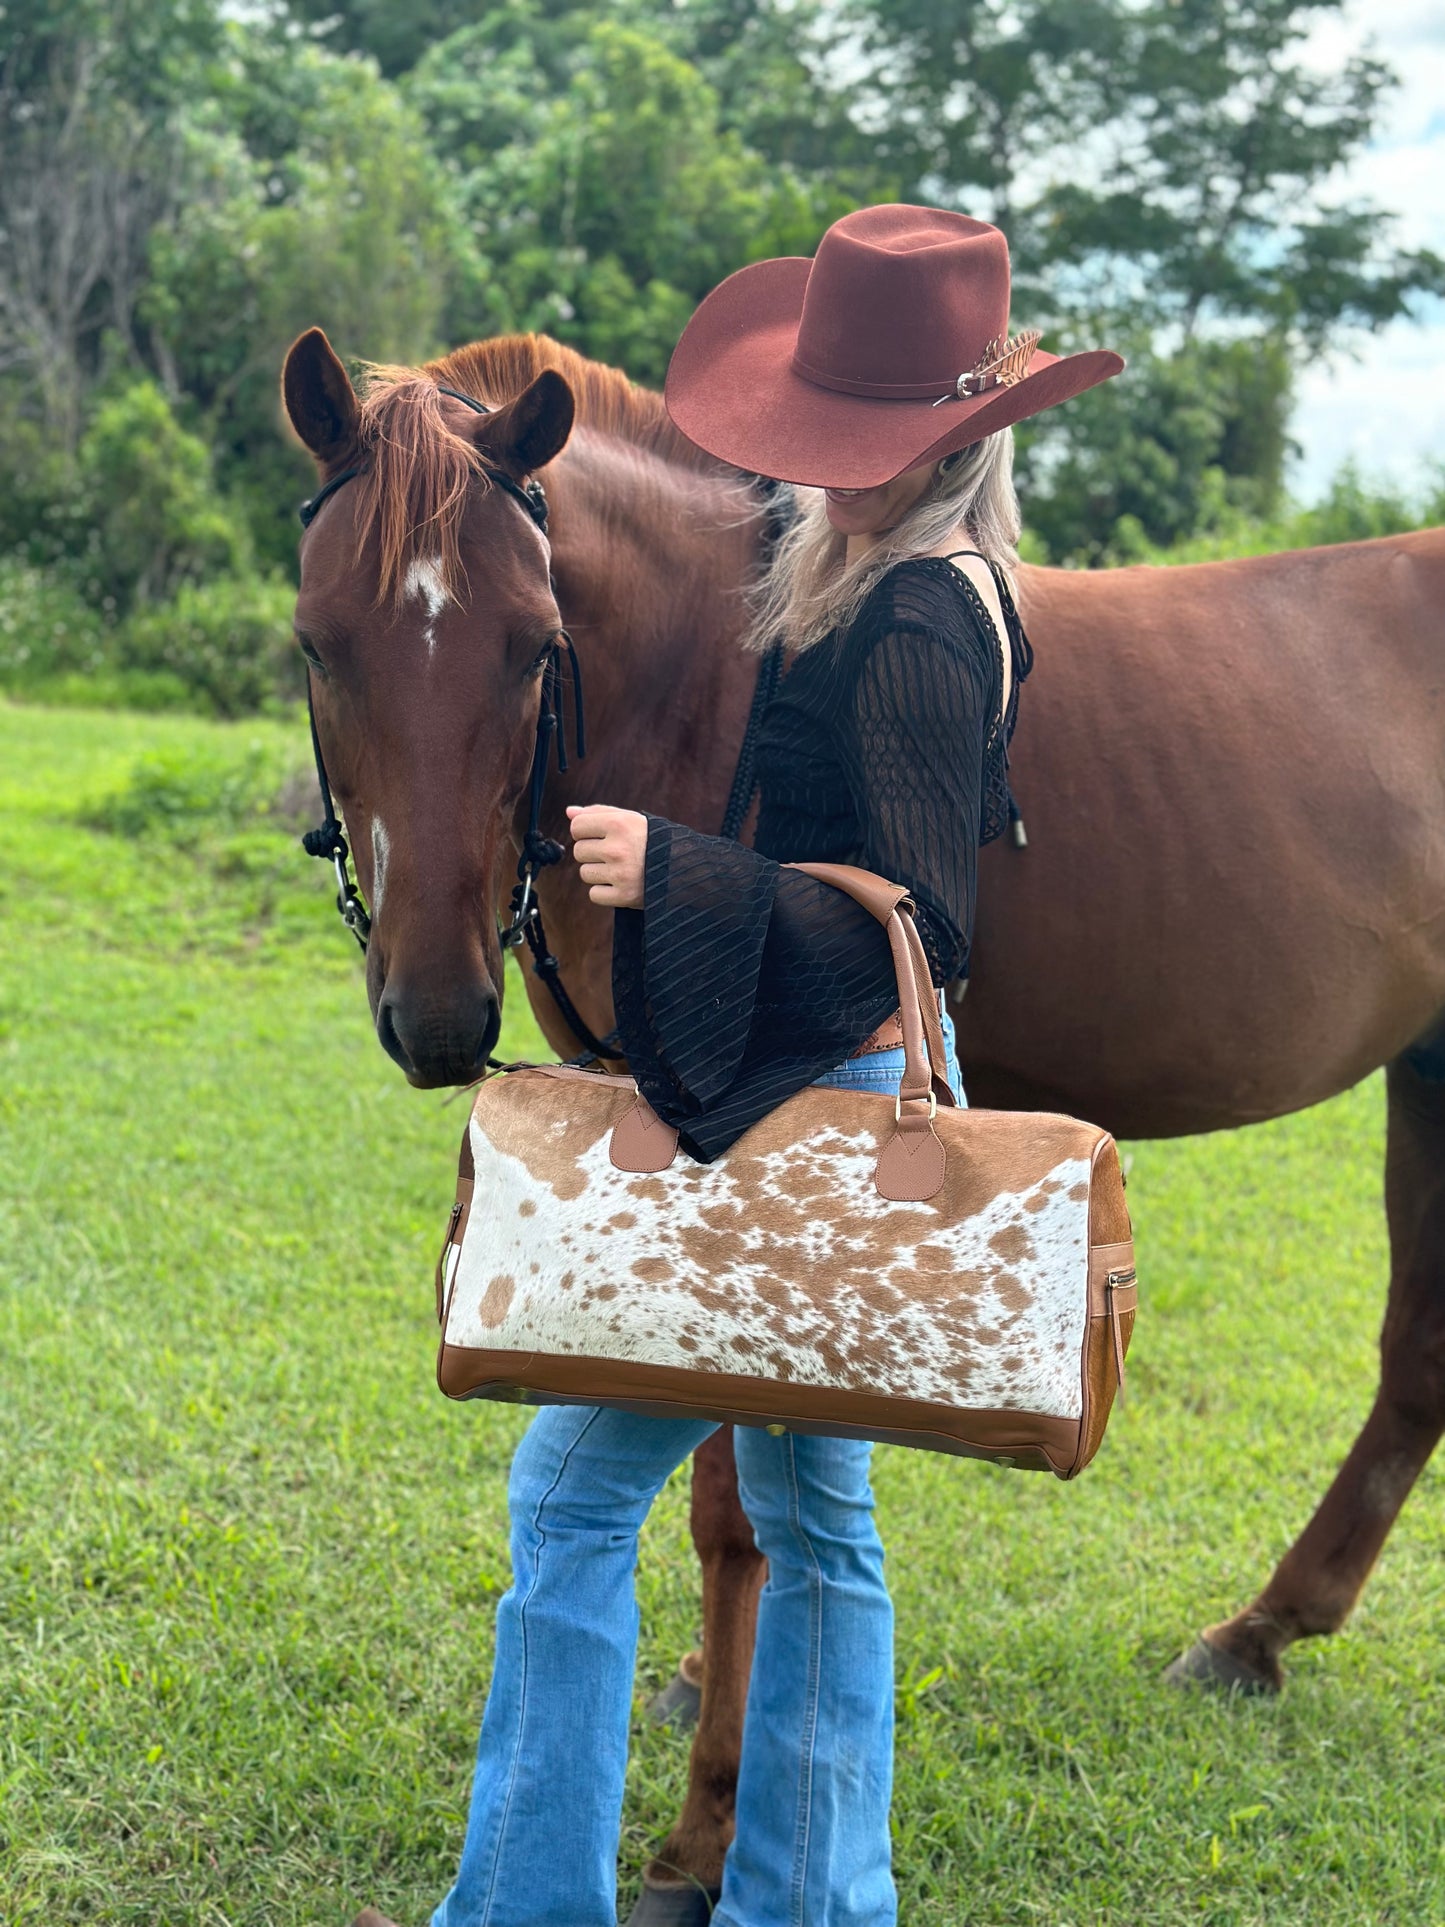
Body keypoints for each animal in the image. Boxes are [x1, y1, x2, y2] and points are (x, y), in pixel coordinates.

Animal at [279, 323, 1445, 1919]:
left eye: (530, 641)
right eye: (317, 641)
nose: (441, 1010)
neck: (712, 674)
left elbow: (734, 1518)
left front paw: (703, 1840)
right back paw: (1260, 1629)